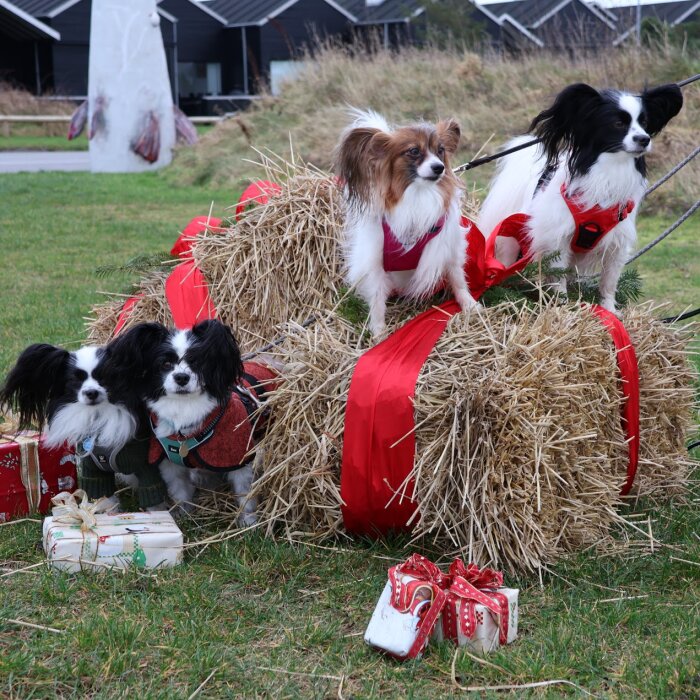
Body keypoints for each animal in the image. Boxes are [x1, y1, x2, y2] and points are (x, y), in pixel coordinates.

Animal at [334, 109, 478, 336]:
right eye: (414, 151)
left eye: (440, 150)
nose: (439, 168)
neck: (419, 194)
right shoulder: (375, 260)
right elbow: (377, 299)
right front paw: (379, 331)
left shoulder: (448, 246)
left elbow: (457, 277)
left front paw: (469, 304)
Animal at [478, 80, 680, 314]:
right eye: (618, 124)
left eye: (644, 122)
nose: (644, 139)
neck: (609, 170)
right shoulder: (558, 239)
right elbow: (559, 281)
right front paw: (564, 308)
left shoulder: (617, 244)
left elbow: (609, 283)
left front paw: (609, 311)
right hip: (509, 242)